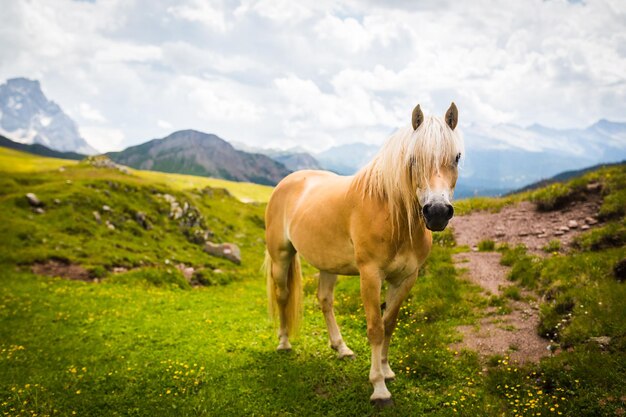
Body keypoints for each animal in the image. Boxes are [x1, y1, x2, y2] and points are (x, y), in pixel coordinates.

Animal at [260, 102, 460, 404]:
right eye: (413, 158)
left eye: (457, 157)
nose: (437, 213)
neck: (393, 216)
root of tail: (288, 182)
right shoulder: (370, 275)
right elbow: (375, 328)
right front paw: (379, 387)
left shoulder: (406, 278)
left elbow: (389, 324)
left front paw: (387, 371)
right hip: (281, 256)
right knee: (283, 295)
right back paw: (284, 342)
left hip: (328, 265)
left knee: (325, 300)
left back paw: (341, 348)